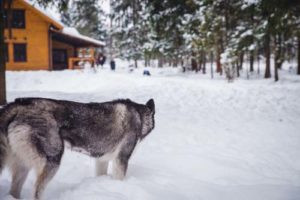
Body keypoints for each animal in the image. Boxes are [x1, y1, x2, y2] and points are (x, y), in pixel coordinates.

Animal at [0, 97, 155, 199]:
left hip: (23, 166)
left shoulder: (102, 160)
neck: (140, 116)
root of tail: (18, 104)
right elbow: (119, 179)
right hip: (52, 160)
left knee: (14, 191)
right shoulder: (121, 160)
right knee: (36, 192)